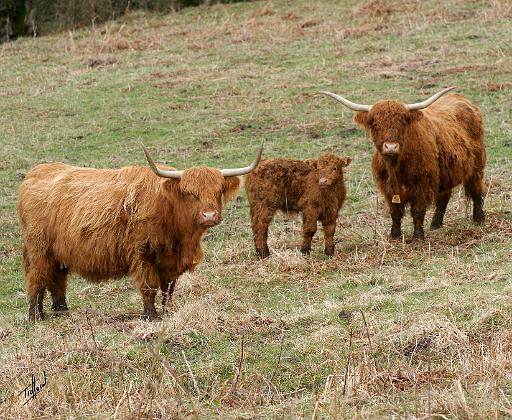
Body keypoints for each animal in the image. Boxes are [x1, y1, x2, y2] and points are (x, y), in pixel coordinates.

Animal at [17, 143, 262, 320]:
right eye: (189, 192)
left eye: (218, 190)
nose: (209, 215)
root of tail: (37, 172)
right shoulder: (142, 253)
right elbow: (149, 287)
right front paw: (150, 316)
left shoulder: (170, 262)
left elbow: (168, 289)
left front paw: (169, 311)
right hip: (39, 249)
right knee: (37, 279)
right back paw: (36, 316)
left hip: (58, 253)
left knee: (57, 280)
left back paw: (61, 311)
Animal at [322, 86, 486, 240]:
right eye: (374, 124)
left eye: (403, 122)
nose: (391, 147)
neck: (395, 167)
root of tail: (461, 99)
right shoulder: (387, 188)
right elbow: (395, 212)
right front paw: (394, 235)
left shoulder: (422, 185)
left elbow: (418, 210)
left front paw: (418, 237)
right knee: (444, 196)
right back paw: (435, 225)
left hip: (477, 166)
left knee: (477, 191)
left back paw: (479, 219)